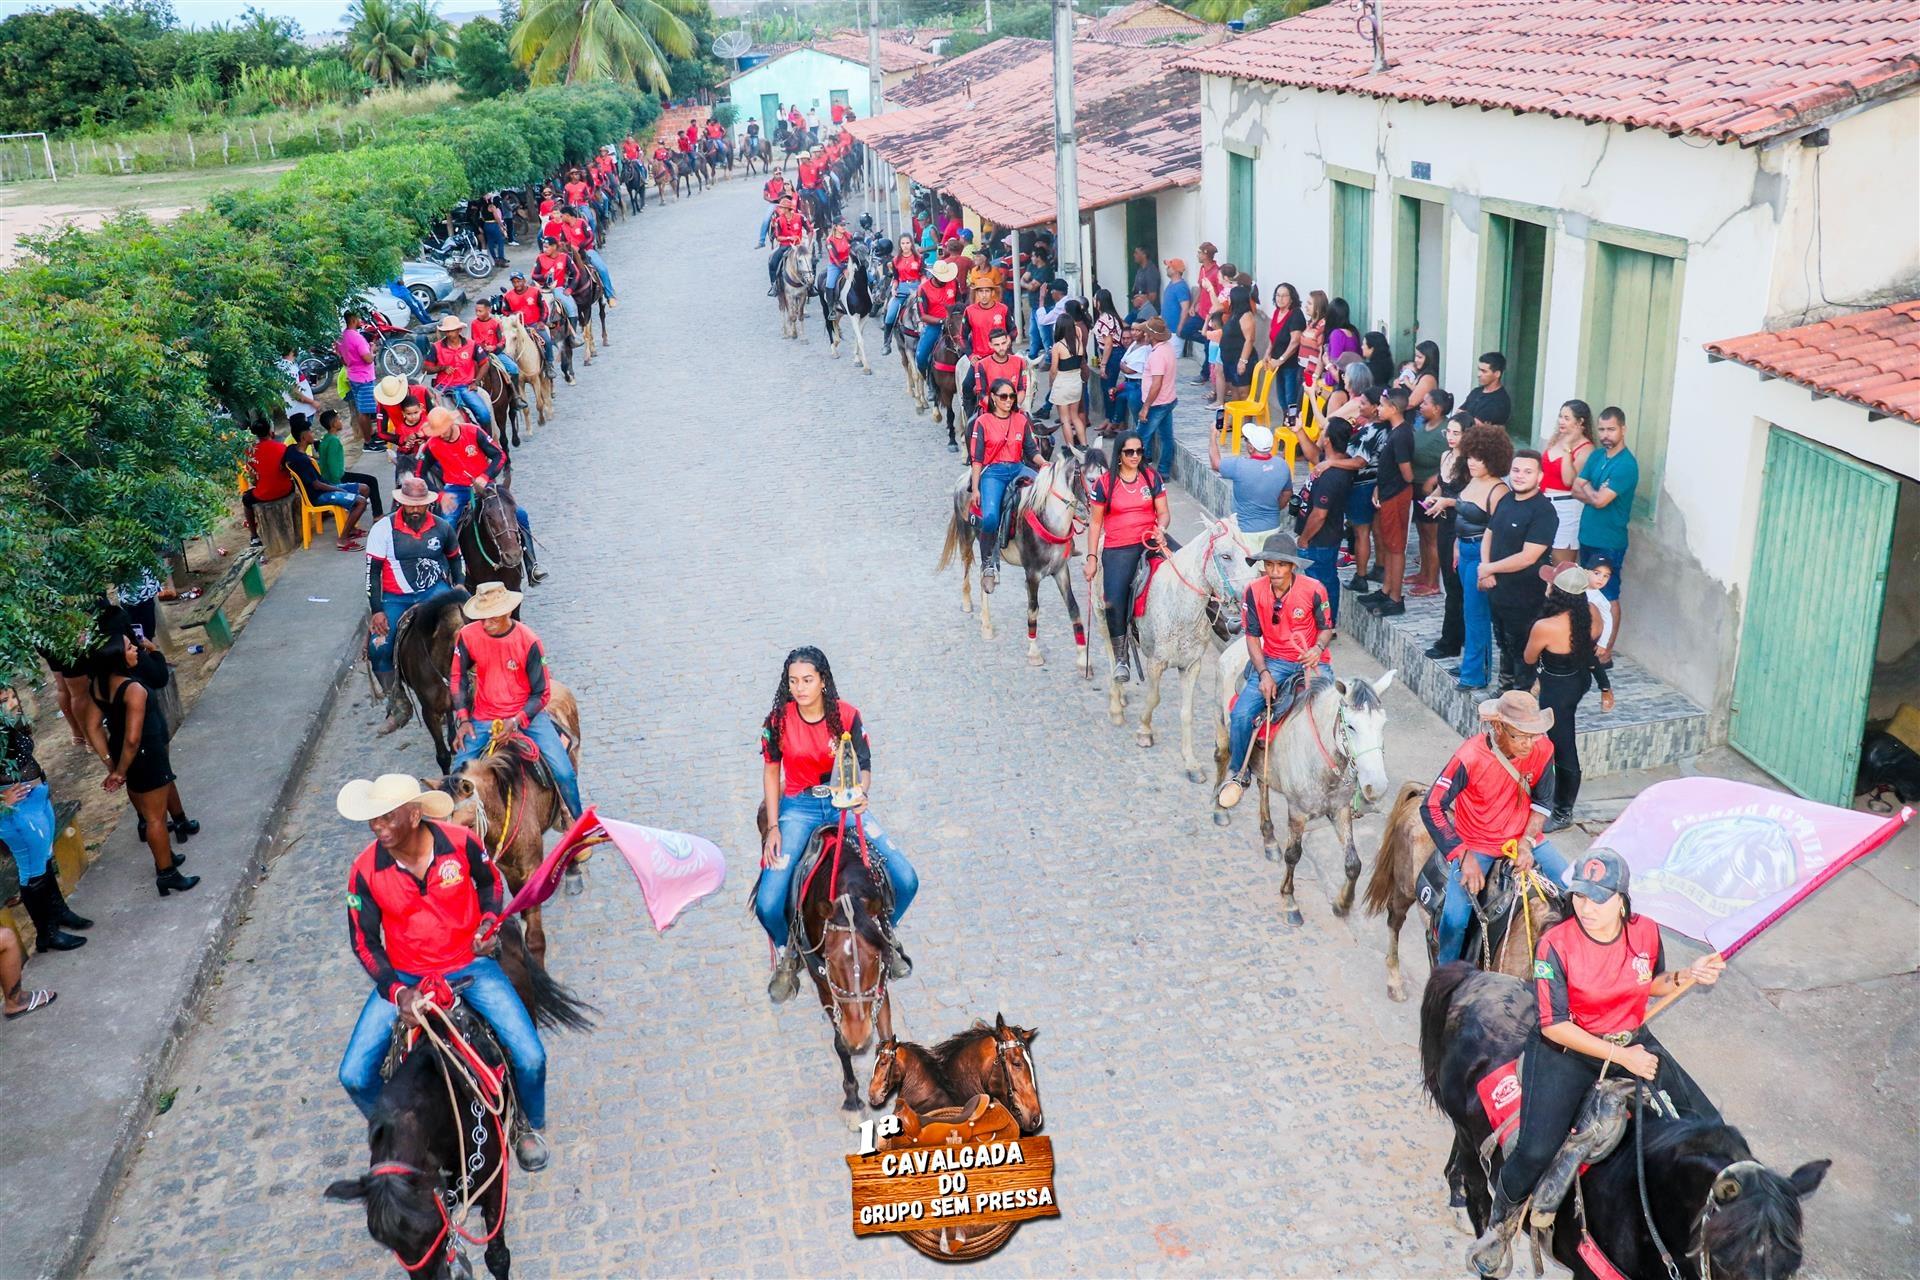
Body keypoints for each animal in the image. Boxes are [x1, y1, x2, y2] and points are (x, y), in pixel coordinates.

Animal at [753, 804, 896, 1111]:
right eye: (830, 961)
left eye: (875, 958)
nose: (859, 1038)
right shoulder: (825, 987)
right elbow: (839, 1042)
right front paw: (852, 1097)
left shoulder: (880, 982)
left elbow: (887, 1035)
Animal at [937, 445, 1092, 674]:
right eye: (1091, 478)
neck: (1048, 519)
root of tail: (964, 479)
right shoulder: (1033, 575)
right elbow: (1033, 610)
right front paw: (1034, 654)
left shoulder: (1061, 570)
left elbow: (1073, 608)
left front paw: (1083, 660)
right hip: (967, 537)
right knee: (969, 570)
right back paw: (976, 614)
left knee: (984, 574)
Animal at [1105, 517, 1257, 776]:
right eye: (1225, 556)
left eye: (1249, 554)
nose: (1252, 593)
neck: (1179, 604)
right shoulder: (1156, 663)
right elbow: (1154, 698)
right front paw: (1144, 731)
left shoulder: (1191, 665)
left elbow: (1187, 713)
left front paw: (1191, 762)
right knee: (1113, 655)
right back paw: (1116, 703)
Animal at [1211, 661, 1395, 926]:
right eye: (1351, 726)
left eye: (1383, 724)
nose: (1377, 786)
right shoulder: (1297, 812)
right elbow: (1293, 855)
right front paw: (1290, 902)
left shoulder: (1340, 809)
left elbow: (1353, 862)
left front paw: (1342, 903)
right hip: (1223, 725)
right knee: (1223, 758)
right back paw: (1220, 808)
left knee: (1263, 785)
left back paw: (1269, 839)